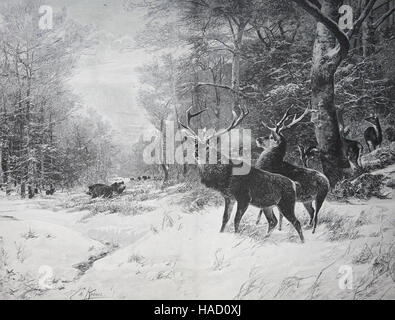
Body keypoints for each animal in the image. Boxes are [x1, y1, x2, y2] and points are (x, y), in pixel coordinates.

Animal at [180, 105, 306, 242]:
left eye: (207, 146)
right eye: (196, 144)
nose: (196, 153)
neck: (225, 178)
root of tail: (293, 184)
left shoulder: (244, 197)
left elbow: (236, 220)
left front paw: (236, 237)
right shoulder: (229, 197)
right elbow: (225, 219)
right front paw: (221, 233)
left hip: (287, 203)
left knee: (296, 222)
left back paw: (302, 242)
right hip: (267, 205)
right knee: (273, 221)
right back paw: (265, 237)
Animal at [255, 106, 330, 234]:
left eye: (271, 137)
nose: (258, 139)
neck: (269, 165)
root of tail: (327, 181)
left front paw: (258, 223)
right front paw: (279, 228)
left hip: (320, 195)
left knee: (316, 215)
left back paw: (313, 231)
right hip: (306, 200)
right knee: (312, 211)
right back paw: (307, 226)